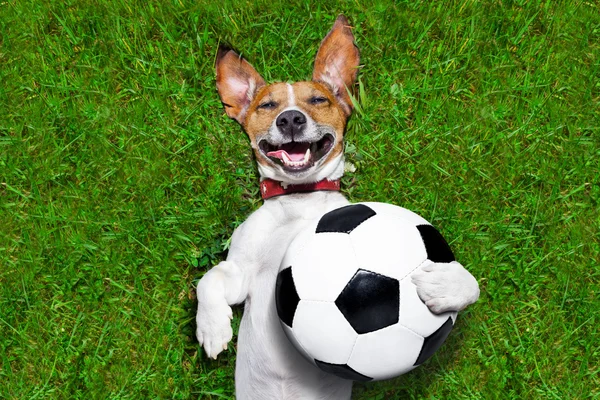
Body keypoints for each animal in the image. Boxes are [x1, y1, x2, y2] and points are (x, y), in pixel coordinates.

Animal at [195, 15, 480, 400]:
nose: (290, 119)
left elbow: (473, 285)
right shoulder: (239, 272)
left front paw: (447, 286)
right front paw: (212, 329)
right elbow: (207, 282)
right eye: (267, 106)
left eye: (318, 99)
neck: (299, 202)